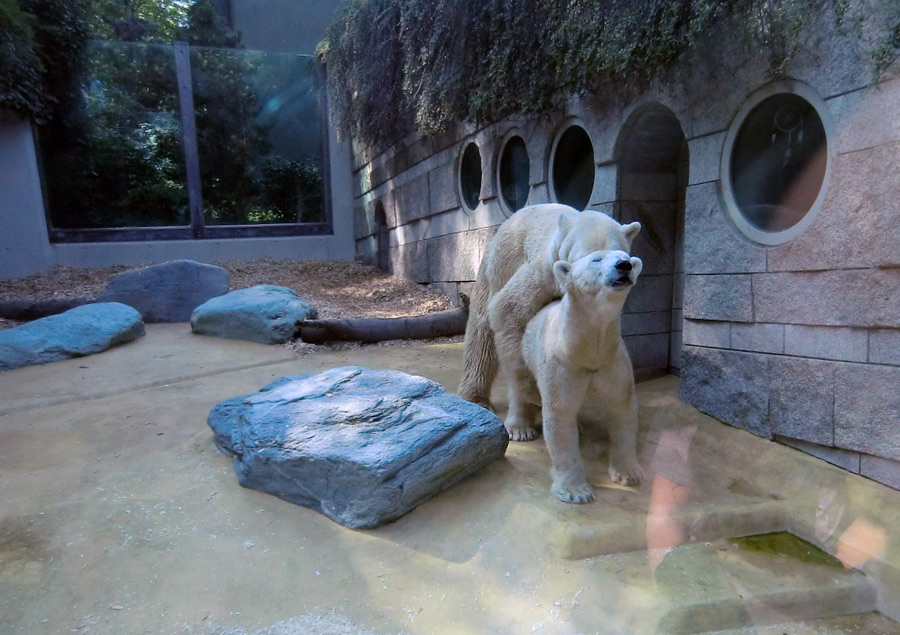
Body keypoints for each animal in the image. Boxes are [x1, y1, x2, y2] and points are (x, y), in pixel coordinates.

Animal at [524, 251, 644, 504]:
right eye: (596, 259)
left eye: (627, 257)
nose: (624, 266)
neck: (585, 353)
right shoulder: (561, 365)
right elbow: (561, 413)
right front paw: (575, 491)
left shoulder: (612, 362)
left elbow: (622, 407)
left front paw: (629, 474)